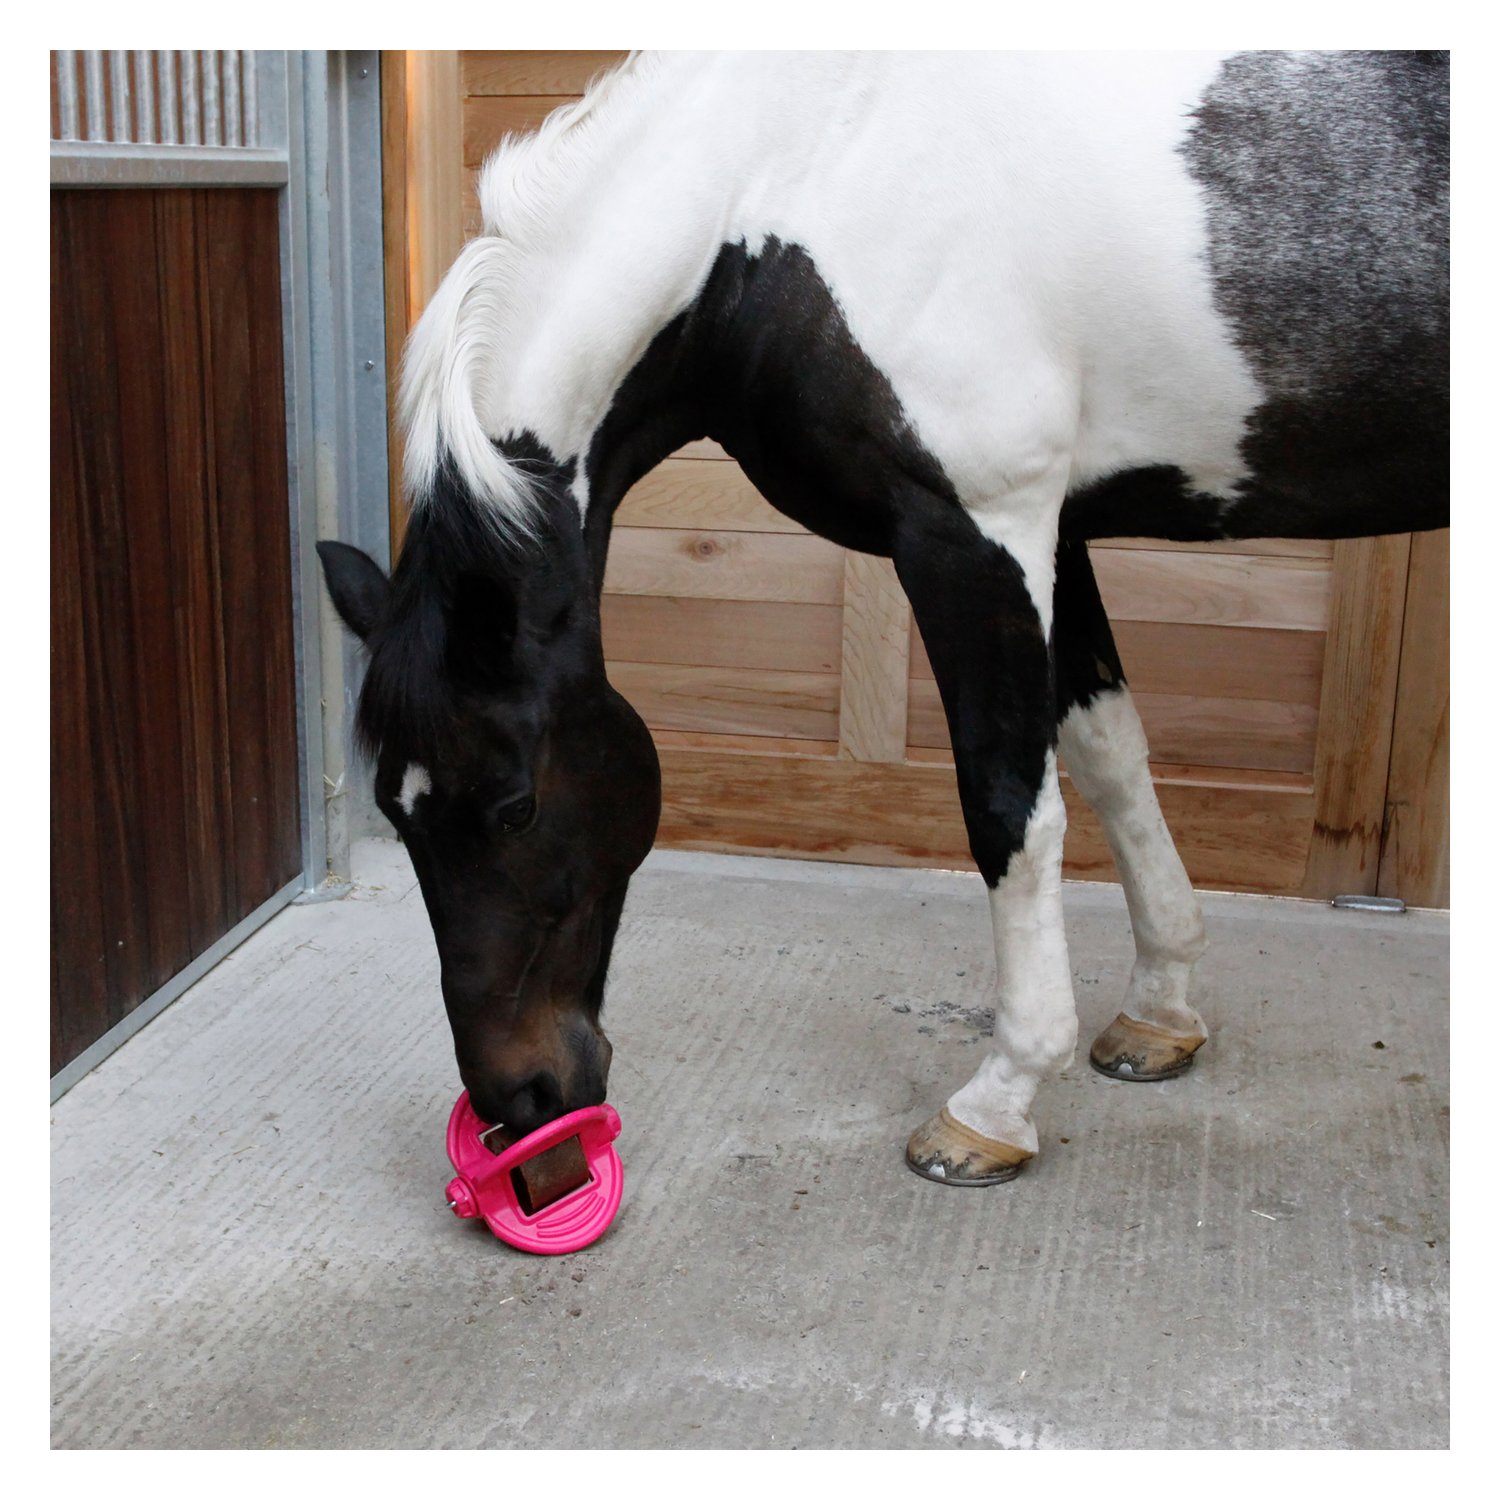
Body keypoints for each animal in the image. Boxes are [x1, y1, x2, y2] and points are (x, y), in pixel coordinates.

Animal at [318, 51, 1448, 1186]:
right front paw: (1159, 1010)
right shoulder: (1055, 532)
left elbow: (1008, 805)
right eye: (397, 815)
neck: (792, 182)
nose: (523, 1111)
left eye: (514, 807)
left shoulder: (974, 532)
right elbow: (1111, 757)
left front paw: (998, 1101)